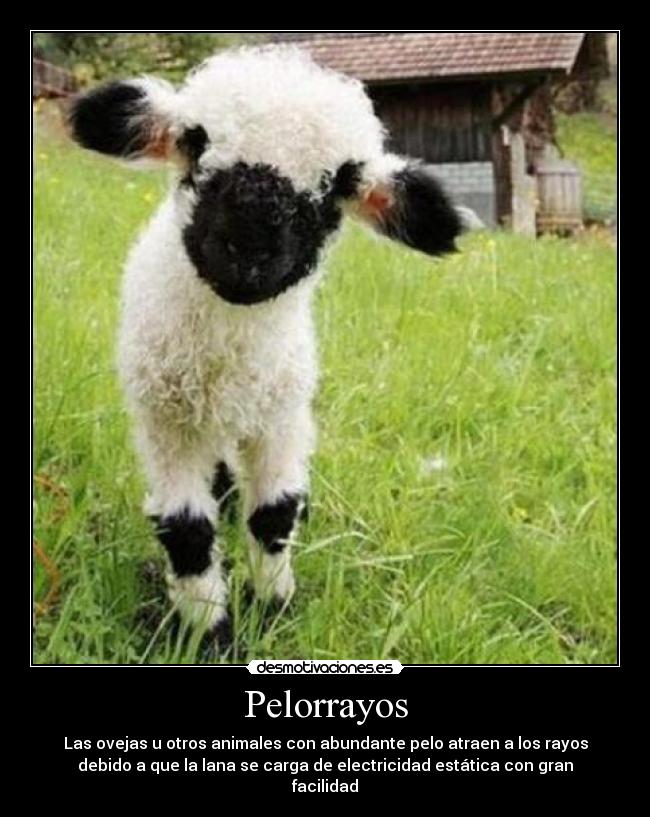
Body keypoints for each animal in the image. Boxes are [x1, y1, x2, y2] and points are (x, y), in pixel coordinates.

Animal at [67, 45, 462, 650]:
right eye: (194, 142)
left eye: (339, 186)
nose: (248, 250)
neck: (229, 346)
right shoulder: (166, 421)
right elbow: (187, 529)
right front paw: (207, 632)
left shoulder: (282, 415)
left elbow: (274, 514)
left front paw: (273, 607)